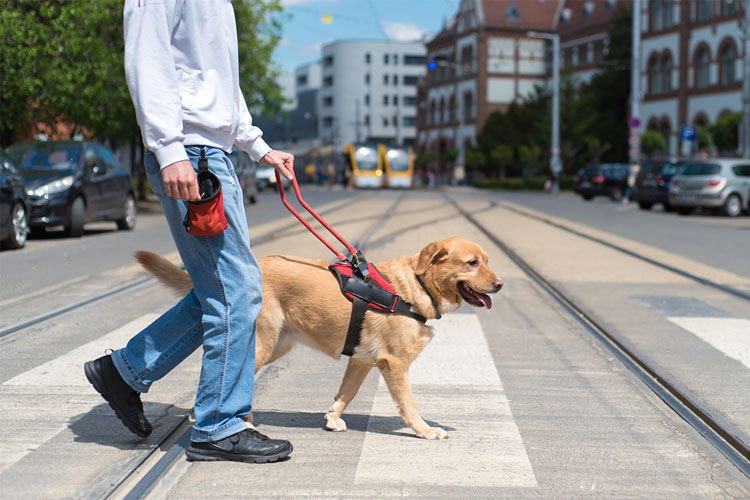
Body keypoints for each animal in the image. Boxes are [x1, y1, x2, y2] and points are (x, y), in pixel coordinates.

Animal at [137, 237, 502, 438]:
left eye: (487, 260)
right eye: (472, 263)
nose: (499, 284)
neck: (416, 285)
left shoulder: (361, 361)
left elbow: (345, 394)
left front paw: (332, 419)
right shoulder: (395, 365)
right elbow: (409, 406)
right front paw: (425, 431)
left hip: (276, 346)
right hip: (261, 345)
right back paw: (225, 422)